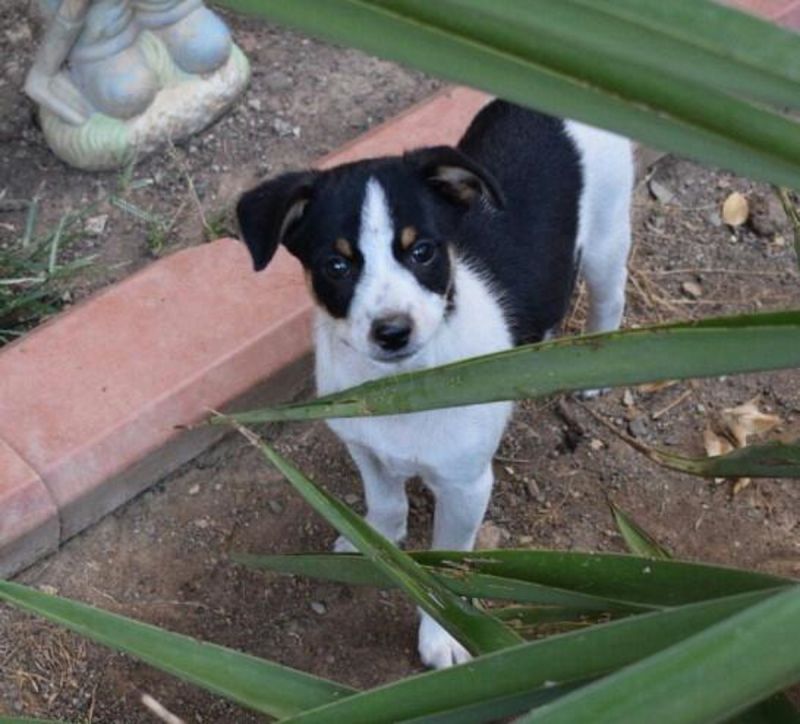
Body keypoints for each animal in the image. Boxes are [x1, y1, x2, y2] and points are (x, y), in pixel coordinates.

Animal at [234, 100, 636, 668]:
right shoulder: (364, 447)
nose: (392, 331)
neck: (400, 387)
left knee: (610, 293)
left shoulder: (465, 485)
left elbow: (447, 565)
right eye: (336, 265)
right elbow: (386, 503)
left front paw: (443, 635)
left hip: (606, 232)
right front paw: (375, 541)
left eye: (423, 251)